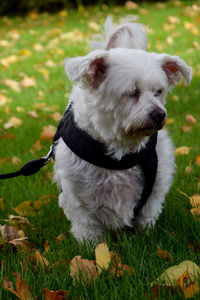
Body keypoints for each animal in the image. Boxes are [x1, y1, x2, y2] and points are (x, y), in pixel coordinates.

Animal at [53, 16, 192, 243]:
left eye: (159, 91)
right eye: (132, 92)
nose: (159, 114)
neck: (119, 148)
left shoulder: (155, 186)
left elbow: (147, 215)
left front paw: (146, 238)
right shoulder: (76, 194)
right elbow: (87, 226)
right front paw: (90, 246)